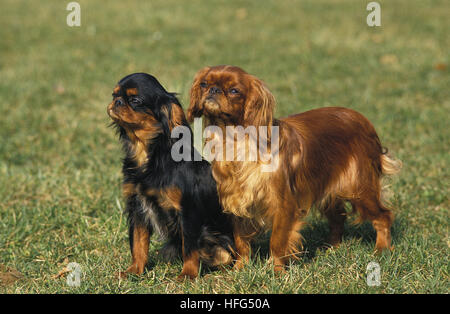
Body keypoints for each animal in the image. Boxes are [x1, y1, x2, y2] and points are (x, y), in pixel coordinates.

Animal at [108, 73, 234, 280]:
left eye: (135, 100)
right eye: (114, 95)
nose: (117, 102)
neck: (147, 155)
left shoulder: (187, 212)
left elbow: (190, 247)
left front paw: (188, 275)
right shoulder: (138, 208)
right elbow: (139, 243)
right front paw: (134, 271)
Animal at [186, 64, 400, 272]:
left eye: (233, 91)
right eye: (204, 84)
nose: (213, 90)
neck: (236, 140)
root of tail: (365, 122)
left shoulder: (284, 205)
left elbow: (277, 241)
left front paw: (277, 271)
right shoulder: (237, 201)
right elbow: (241, 241)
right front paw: (240, 268)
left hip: (359, 189)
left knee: (383, 216)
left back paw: (381, 249)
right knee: (339, 218)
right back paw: (331, 248)